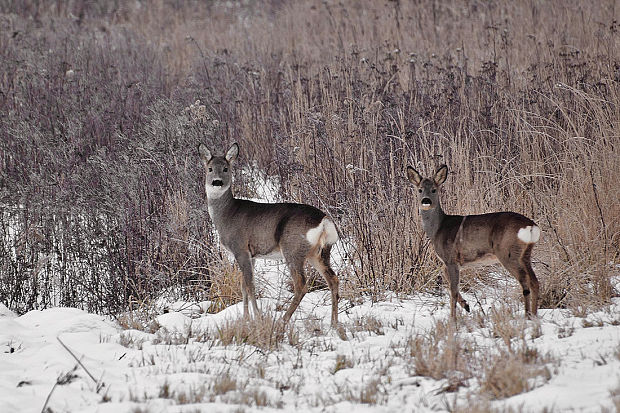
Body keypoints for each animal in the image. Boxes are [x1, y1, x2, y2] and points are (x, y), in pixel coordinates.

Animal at [199, 143, 342, 326]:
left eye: (226, 168)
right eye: (210, 168)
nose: (217, 182)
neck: (227, 214)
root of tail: (324, 221)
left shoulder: (240, 248)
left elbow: (250, 286)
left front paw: (257, 317)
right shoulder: (251, 255)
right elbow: (243, 286)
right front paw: (245, 319)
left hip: (293, 249)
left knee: (301, 284)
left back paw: (283, 320)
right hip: (319, 252)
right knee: (333, 279)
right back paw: (334, 323)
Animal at [404, 164, 540, 318]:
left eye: (434, 189)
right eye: (420, 189)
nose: (425, 201)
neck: (438, 229)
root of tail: (531, 226)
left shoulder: (451, 258)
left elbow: (453, 290)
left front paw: (453, 318)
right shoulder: (447, 263)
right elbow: (450, 284)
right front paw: (466, 305)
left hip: (508, 253)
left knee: (524, 281)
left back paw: (527, 315)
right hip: (525, 254)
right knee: (534, 281)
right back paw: (534, 315)